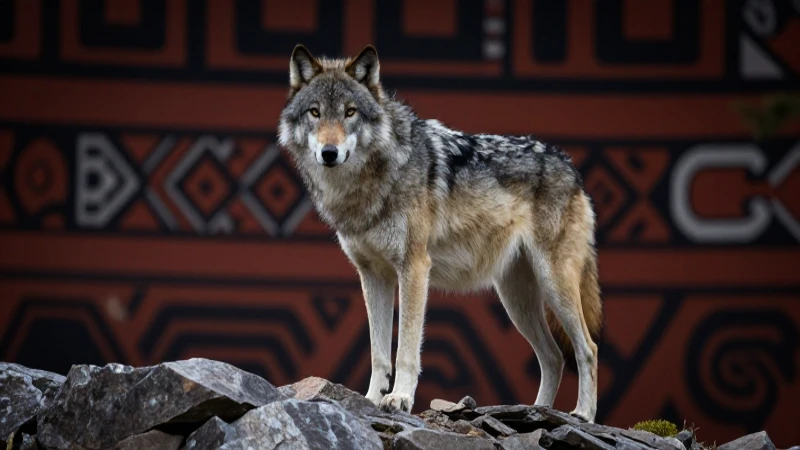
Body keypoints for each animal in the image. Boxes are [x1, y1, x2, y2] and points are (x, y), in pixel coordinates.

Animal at [278, 45, 602, 421]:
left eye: (350, 112)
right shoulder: (372, 275)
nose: (329, 153)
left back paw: (583, 415)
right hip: (516, 299)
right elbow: (378, 352)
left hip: (554, 285)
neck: (371, 182)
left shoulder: (415, 267)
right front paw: (371, 399)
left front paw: (400, 398)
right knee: (552, 357)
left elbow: (405, 348)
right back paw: (536, 412)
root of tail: (570, 166)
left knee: (587, 348)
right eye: (315, 113)